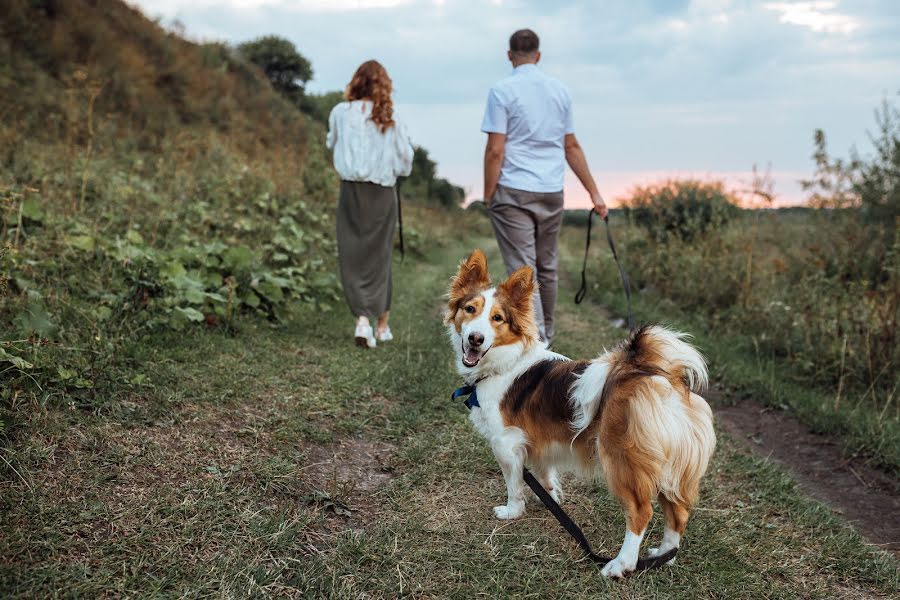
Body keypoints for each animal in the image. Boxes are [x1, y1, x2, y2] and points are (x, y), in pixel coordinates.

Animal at [444, 248, 716, 576]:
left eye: (497, 318)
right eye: (470, 309)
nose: (476, 338)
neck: (505, 362)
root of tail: (655, 375)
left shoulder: (505, 444)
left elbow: (514, 483)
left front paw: (512, 511)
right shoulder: (537, 441)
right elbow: (544, 474)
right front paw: (549, 500)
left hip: (622, 461)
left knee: (641, 512)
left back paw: (621, 565)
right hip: (665, 466)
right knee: (678, 512)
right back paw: (663, 556)